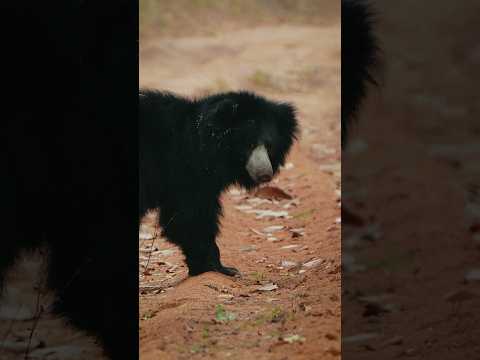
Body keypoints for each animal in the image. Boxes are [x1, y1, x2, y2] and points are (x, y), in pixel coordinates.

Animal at [139, 89, 298, 276]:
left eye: (270, 146)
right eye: (248, 145)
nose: (265, 174)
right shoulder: (186, 172)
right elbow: (191, 217)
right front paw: (220, 268)